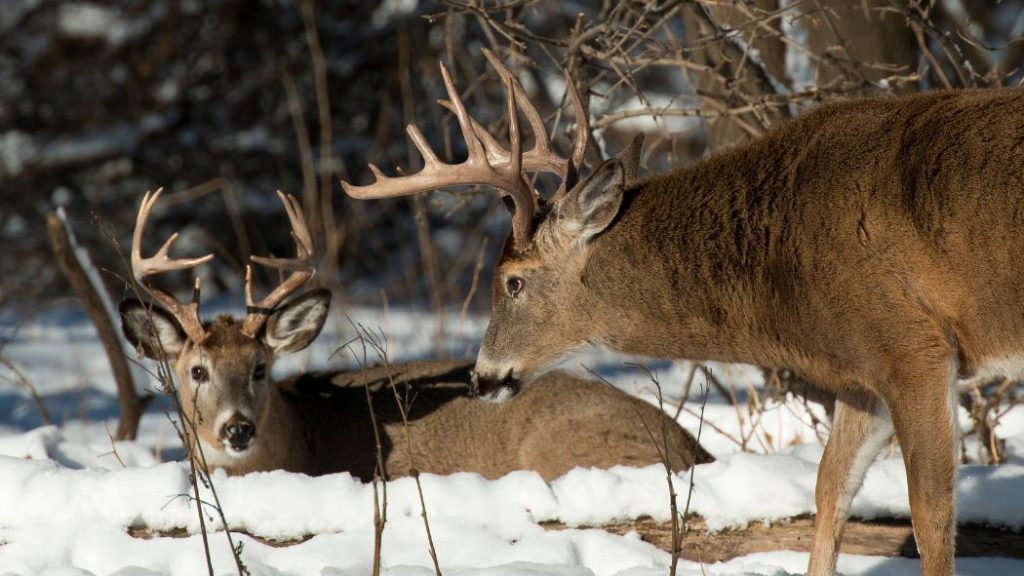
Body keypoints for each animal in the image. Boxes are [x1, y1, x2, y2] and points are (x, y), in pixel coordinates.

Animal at [341, 48, 1024, 575]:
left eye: (512, 282)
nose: (481, 377)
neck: (789, 264)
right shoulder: (865, 374)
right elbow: (831, 488)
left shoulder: (914, 344)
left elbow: (931, 510)